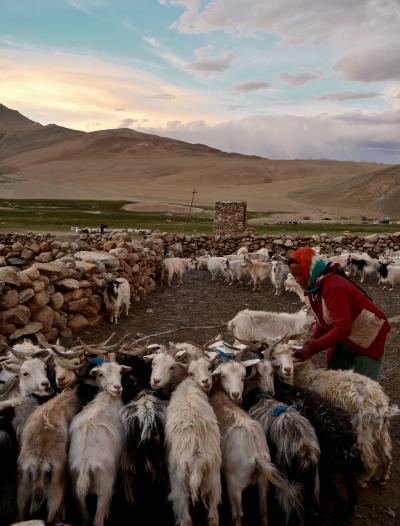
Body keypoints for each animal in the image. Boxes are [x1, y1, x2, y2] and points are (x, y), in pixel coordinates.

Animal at [68, 358, 131, 526]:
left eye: (120, 371)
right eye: (101, 374)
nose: (117, 387)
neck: (106, 401)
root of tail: (84, 468)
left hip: (77, 493)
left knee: (85, 518)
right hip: (104, 488)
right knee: (97, 520)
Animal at [166, 358, 222, 526]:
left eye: (209, 368)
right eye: (191, 372)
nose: (205, 381)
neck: (189, 385)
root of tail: (197, 460)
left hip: (178, 483)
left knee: (186, 519)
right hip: (214, 478)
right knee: (212, 517)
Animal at [270, 344, 398, 488]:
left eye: (292, 353)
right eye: (273, 356)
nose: (287, 370)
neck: (306, 375)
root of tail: (380, 405)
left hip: (363, 431)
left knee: (370, 461)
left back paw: (363, 480)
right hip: (380, 431)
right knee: (386, 456)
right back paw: (383, 477)